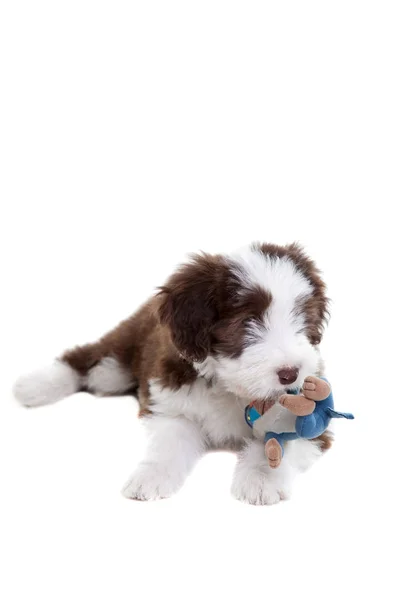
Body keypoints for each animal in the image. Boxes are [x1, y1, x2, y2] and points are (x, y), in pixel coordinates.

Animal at [13, 241, 332, 504]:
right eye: (246, 322)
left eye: (302, 318)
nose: (291, 374)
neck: (229, 386)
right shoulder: (171, 404)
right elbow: (170, 442)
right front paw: (150, 477)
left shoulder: (315, 426)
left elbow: (279, 443)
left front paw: (261, 479)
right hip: (118, 356)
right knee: (84, 360)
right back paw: (33, 386)